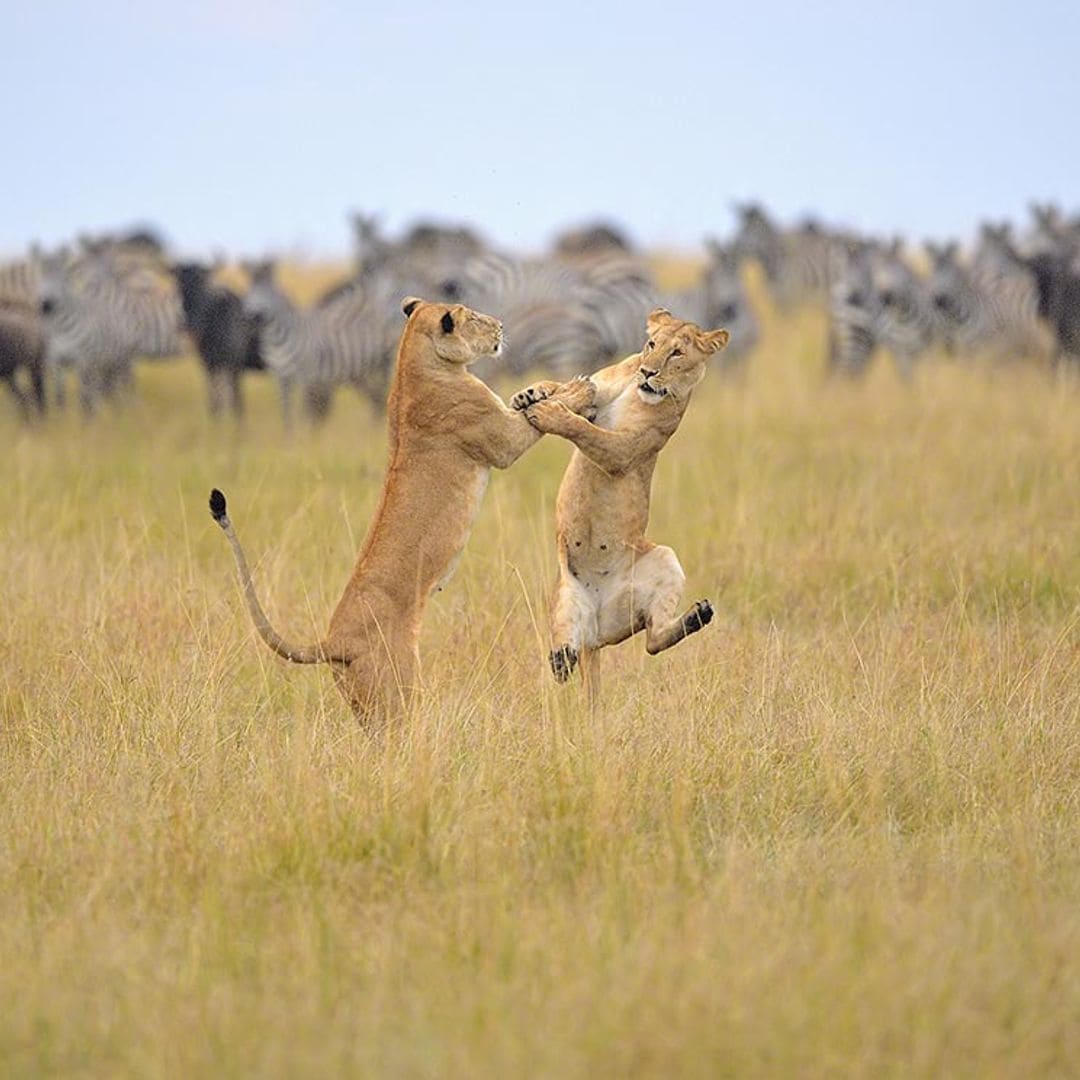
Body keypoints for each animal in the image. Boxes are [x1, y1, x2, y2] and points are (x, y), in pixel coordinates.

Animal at [206, 295, 596, 721]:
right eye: (473, 318)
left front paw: (535, 392)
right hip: (397, 687)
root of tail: (332, 641)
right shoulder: (501, 440)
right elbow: (534, 419)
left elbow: (537, 397)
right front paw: (579, 390)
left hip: (364, 703)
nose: (501, 326)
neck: (413, 361)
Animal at [243, 260, 395, 425]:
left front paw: (305, 431)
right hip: (363, 366)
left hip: (385, 358)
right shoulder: (281, 377)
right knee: (374, 393)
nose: (250, 317)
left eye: (265, 293)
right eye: (248, 292)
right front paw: (291, 432)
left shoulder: (305, 376)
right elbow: (286, 413)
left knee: (383, 387)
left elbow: (303, 411)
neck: (275, 340)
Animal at [511, 311, 730, 699]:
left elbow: (586, 430)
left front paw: (550, 412)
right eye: (652, 344)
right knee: (572, 655)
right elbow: (570, 389)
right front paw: (531, 393)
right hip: (566, 601)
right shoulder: (602, 390)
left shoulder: (625, 450)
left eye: (677, 353)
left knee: (652, 641)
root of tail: (596, 634)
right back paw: (563, 656)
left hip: (663, 559)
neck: (635, 389)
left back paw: (698, 616)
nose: (647, 372)